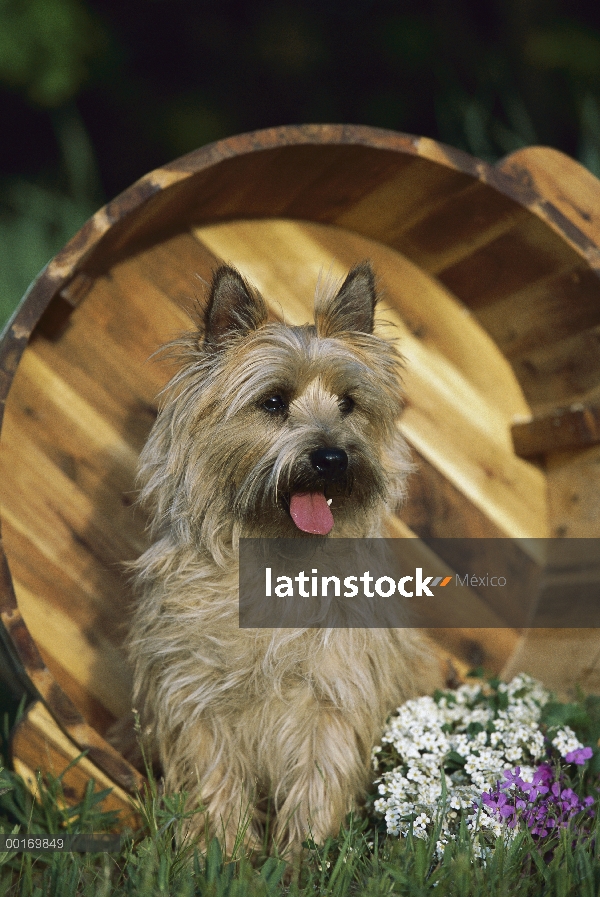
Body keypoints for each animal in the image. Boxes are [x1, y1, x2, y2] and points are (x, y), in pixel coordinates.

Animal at [127, 260, 436, 856]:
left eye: (348, 404)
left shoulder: (332, 696)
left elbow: (318, 781)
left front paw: (301, 859)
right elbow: (214, 779)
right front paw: (220, 856)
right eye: (272, 401)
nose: (334, 457)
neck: (280, 556)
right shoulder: (194, 694)